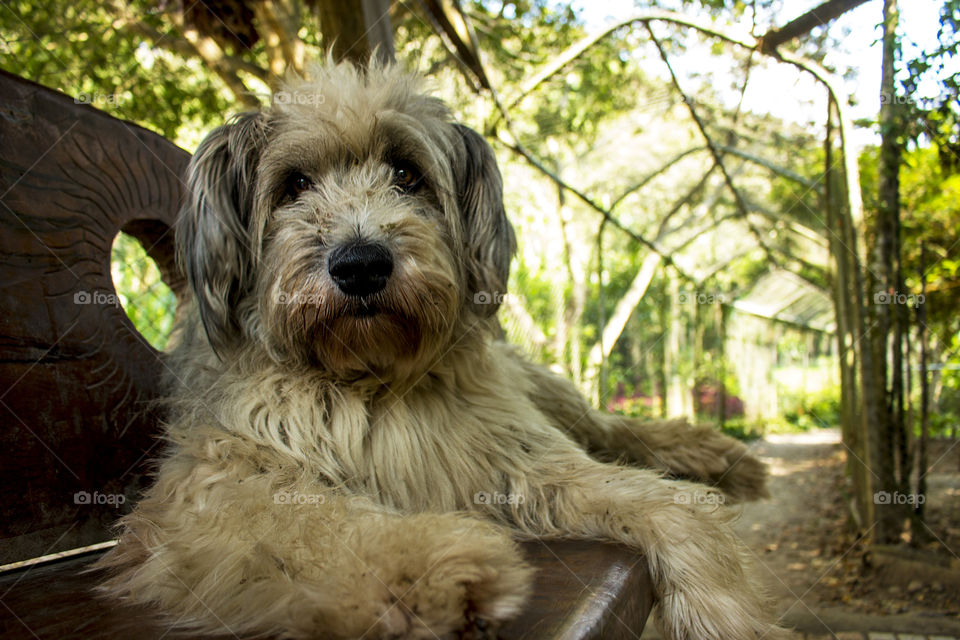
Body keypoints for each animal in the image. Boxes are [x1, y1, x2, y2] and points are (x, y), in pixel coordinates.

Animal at [99, 61, 780, 640]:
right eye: (294, 184)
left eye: (406, 173)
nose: (361, 264)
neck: (370, 381)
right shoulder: (219, 486)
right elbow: (315, 524)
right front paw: (429, 569)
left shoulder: (519, 456)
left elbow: (670, 507)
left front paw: (723, 609)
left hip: (555, 399)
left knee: (614, 430)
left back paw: (717, 454)